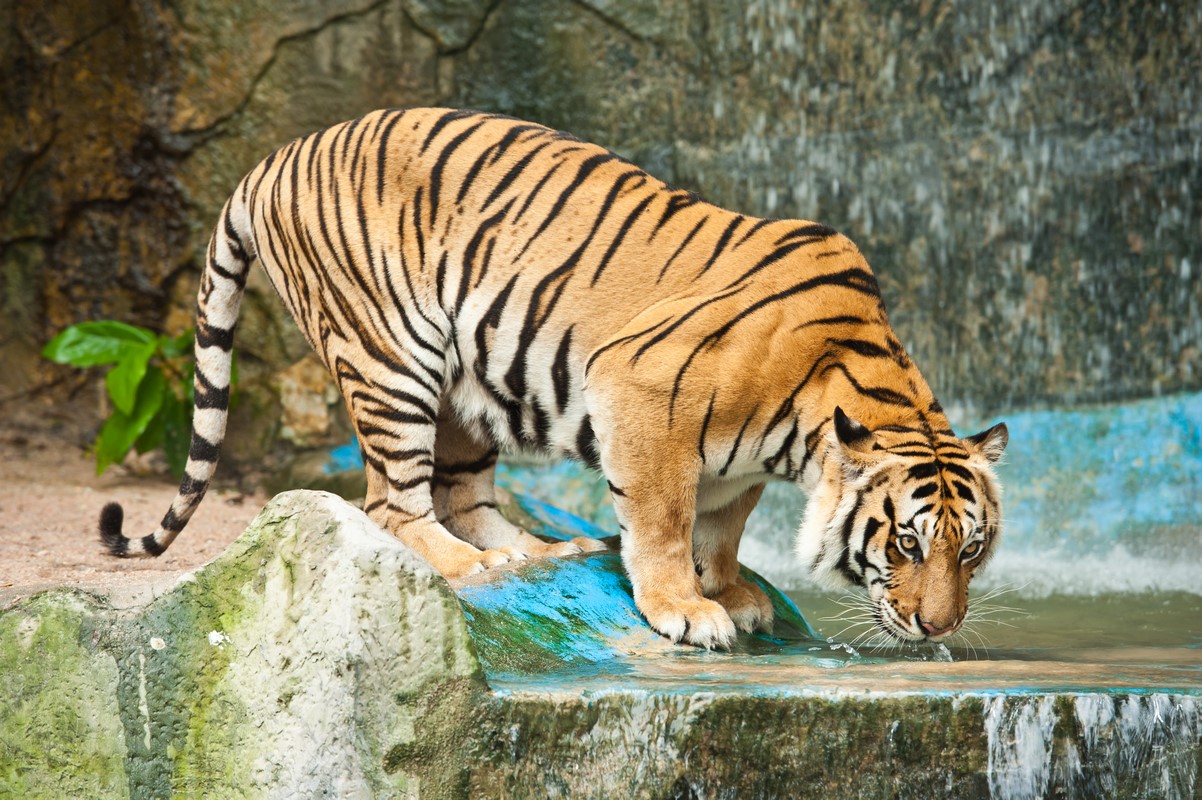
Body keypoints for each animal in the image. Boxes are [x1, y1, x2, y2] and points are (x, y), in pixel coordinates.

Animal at [98, 108, 1008, 650]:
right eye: (905, 542)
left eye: (974, 549)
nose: (938, 627)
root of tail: (271, 161)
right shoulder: (646, 394)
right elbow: (666, 521)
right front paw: (687, 607)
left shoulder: (738, 460)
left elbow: (722, 524)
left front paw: (731, 588)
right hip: (393, 356)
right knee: (392, 503)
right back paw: (470, 567)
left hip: (461, 389)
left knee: (464, 494)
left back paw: (535, 549)